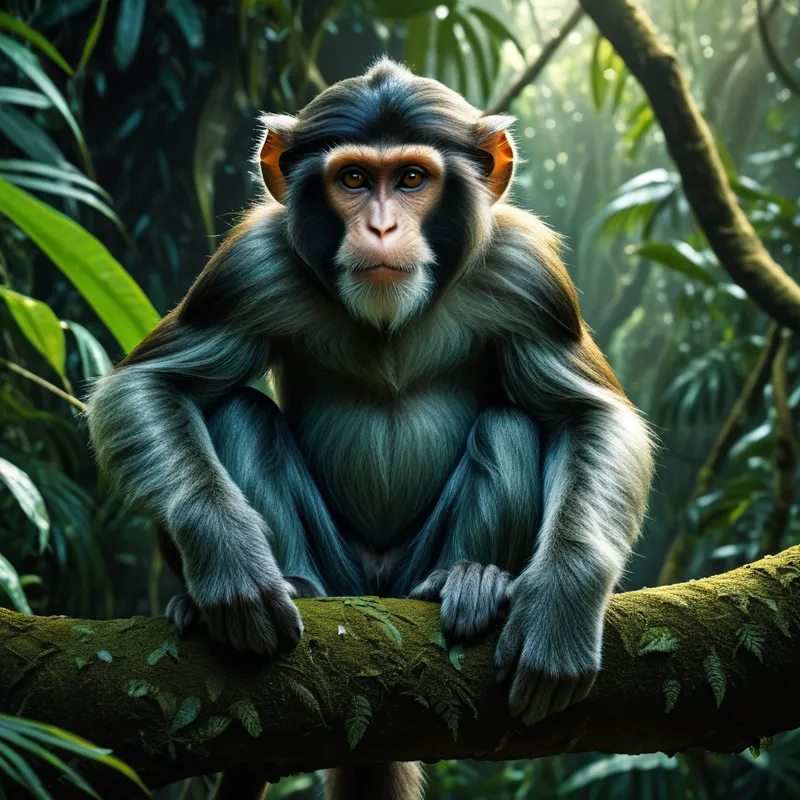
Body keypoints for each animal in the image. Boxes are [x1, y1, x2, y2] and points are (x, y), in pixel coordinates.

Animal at [85, 59, 653, 800]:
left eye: (411, 178)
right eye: (353, 179)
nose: (381, 227)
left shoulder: (528, 274)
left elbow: (589, 414)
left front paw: (560, 604)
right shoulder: (249, 266)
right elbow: (150, 385)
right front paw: (231, 561)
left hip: (410, 568)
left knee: (509, 426)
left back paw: (470, 582)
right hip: (340, 572)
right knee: (238, 414)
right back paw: (274, 588)